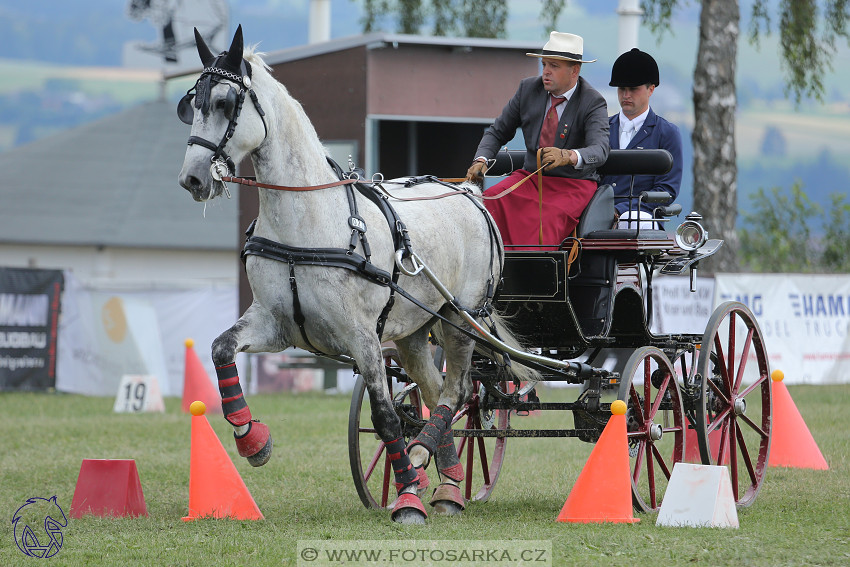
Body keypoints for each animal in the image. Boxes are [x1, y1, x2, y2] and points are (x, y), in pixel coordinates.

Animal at [176, 25, 528, 524]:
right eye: (193, 102)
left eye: (226, 102)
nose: (193, 179)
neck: (306, 222)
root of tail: (471, 192)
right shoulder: (275, 324)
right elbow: (221, 348)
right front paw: (252, 439)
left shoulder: (362, 337)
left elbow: (384, 415)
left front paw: (406, 495)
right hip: (413, 330)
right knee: (433, 389)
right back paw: (444, 477)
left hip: (460, 319)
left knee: (457, 392)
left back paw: (429, 473)